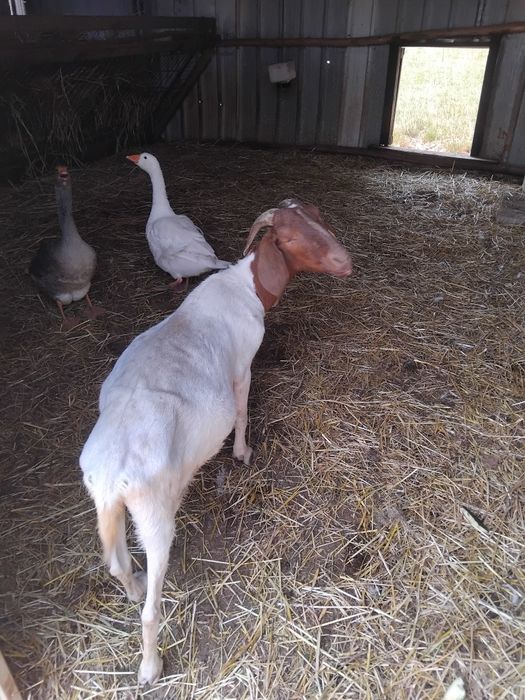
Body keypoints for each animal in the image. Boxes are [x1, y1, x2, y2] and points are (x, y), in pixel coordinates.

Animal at [79, 200, 352, 684]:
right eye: (291, 237)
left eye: (320, 219)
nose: (347, 263)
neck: (245, 286)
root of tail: (111, 476)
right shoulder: (243, 365)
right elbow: (241, 410)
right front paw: (243, 452)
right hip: (154, 514)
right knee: (150, 605)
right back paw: (150, 665)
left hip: (107, 506)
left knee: (117, 563)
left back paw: (132, 590)